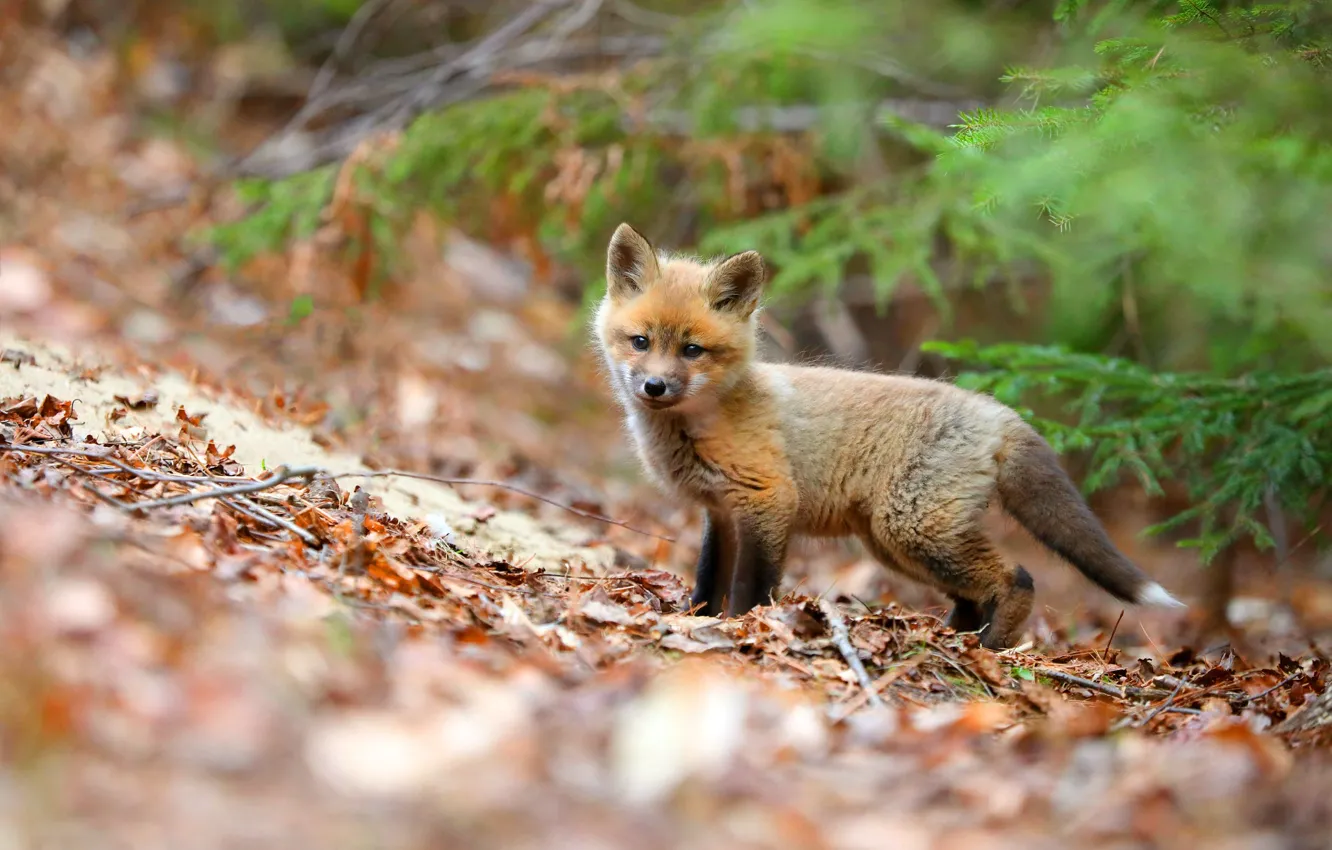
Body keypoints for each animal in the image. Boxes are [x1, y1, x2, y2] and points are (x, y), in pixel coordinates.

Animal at [593, 223, 1185, 649]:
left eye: (692, 350)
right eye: (641, 341)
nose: (653, 386)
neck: (701, 425)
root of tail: (998, 412)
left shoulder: (767, 500)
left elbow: (751, 588)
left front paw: (746, 625)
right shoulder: (720, 512)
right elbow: (706, 580)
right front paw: (695, 619)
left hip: (911, 531)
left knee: (1017, 578)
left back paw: (990, 647)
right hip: (896, 542)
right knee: (973, 597)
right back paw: (952, 640)